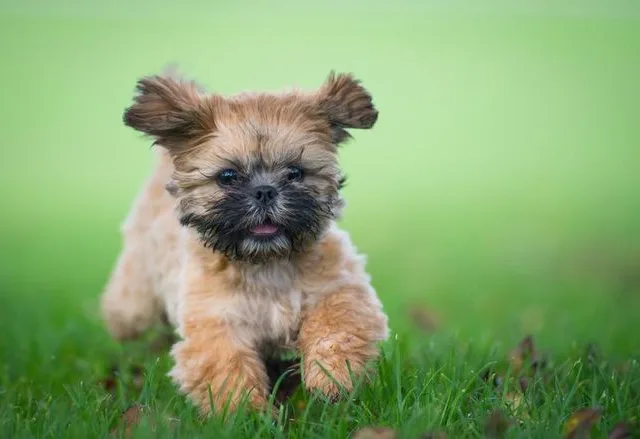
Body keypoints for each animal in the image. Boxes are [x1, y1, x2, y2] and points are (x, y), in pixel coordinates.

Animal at [100, 69, 390, 416]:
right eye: (227, 176)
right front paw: (245, 413)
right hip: (136, 301)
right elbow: (227, 369)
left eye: (295, 172)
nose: (265, 191)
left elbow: (338, 328)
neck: (266, 262)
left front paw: (332, 380)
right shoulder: (216, 322)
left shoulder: (338, 288)